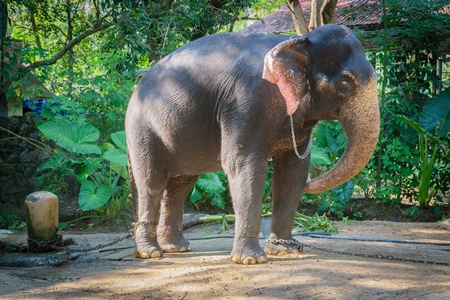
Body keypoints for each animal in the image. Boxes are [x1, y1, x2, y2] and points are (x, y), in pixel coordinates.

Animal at [125, 24, 380, 264]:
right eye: (345, 83)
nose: (313, 181)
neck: (296, 41)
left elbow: (293, 169)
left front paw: (284, 251)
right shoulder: (245, 102)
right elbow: (243, 164)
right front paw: (250, 260)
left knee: (180, 186)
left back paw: (176, 248)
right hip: (142, 129)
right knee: (151, 182)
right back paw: (151, 253)